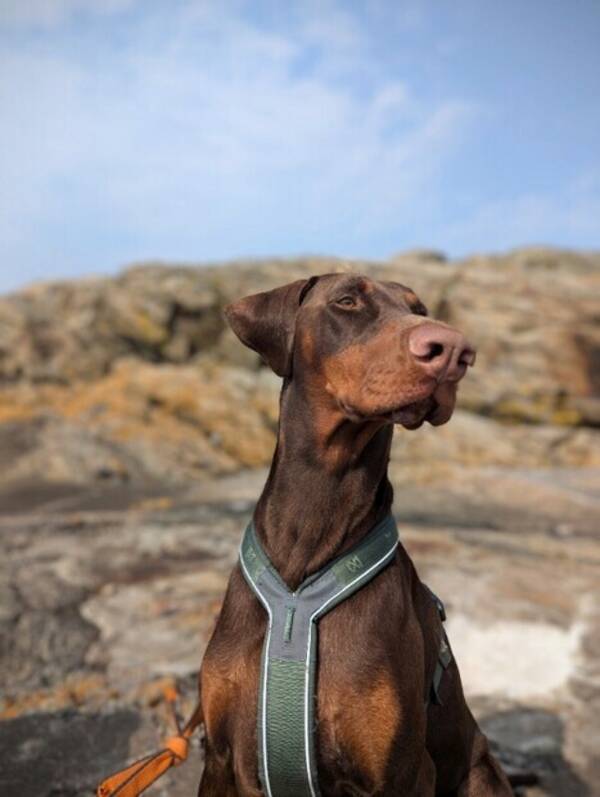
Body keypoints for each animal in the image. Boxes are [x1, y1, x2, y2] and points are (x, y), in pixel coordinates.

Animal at [198, 270, 510, 792]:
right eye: (346, 301)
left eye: (419, 309)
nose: (454, 350)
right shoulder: (218, 758)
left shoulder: (403, 772)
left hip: (479, 775)